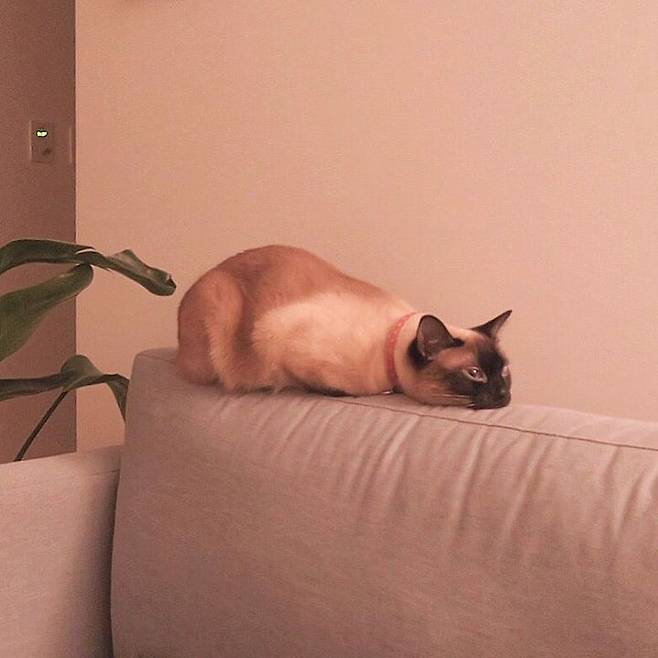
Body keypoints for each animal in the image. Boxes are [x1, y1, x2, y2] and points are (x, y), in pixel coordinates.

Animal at [177, 245, 512, 409]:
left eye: (505, 370)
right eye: (475, 373)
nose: (504, 395)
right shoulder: (275, 337)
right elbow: (315, 382)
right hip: (218, 308)